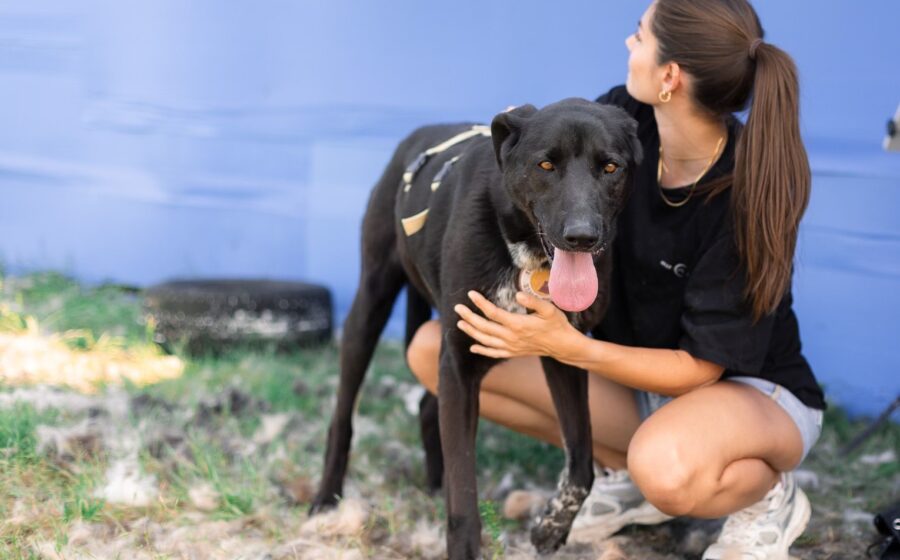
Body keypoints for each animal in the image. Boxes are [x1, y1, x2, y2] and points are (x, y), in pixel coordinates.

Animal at [310, 98, 642, 559]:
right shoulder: (459, 365)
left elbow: (581, 460)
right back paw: (326, 497)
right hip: (370, 306)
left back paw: (435, 482)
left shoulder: (565, 352)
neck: (525, 252)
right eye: (545, 164)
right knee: (343, 415)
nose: (582, 237)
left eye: (610, 167)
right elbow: (465, 494)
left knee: (427, 407)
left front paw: (551, 528)